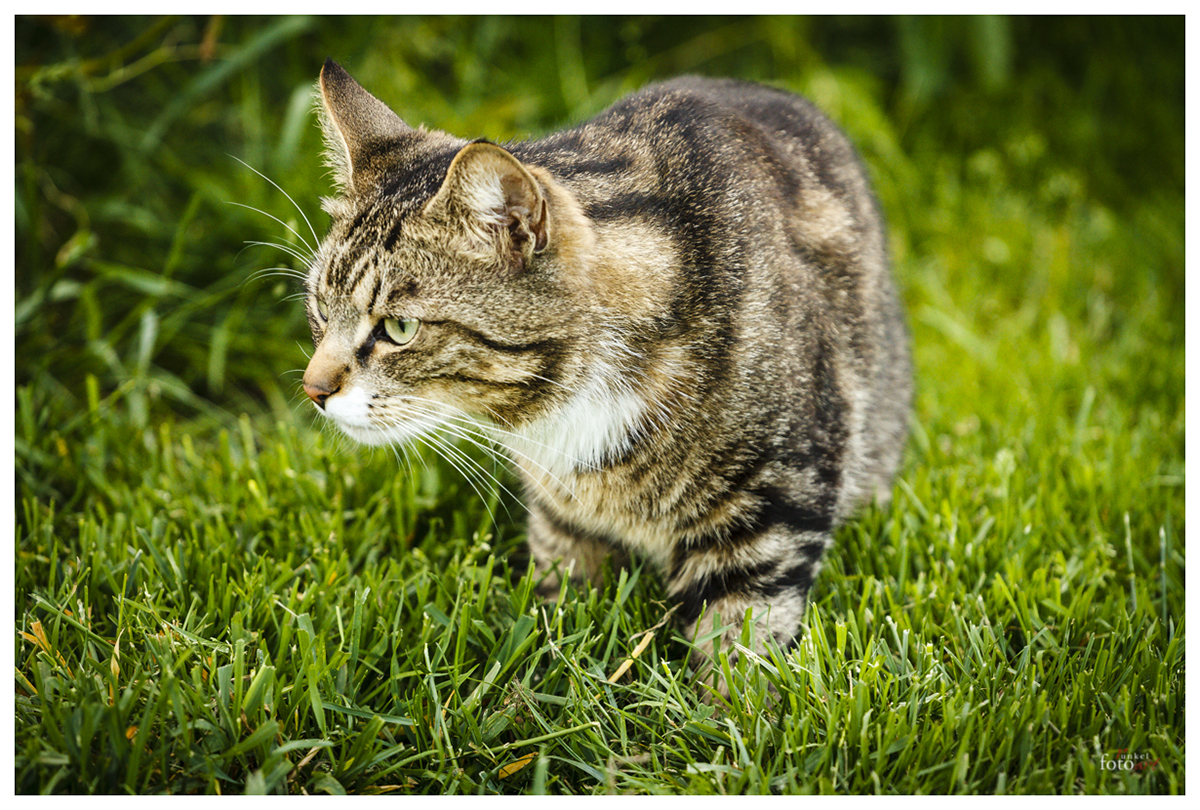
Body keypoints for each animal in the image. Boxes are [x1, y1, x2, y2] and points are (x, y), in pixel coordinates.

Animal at [297, 58, 907, 696]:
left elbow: (739, 642)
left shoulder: (776, 502)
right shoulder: (563, 519)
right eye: (319, 309)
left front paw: (722, 711)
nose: (314, 390)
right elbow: (561, 616)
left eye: (399, 327)